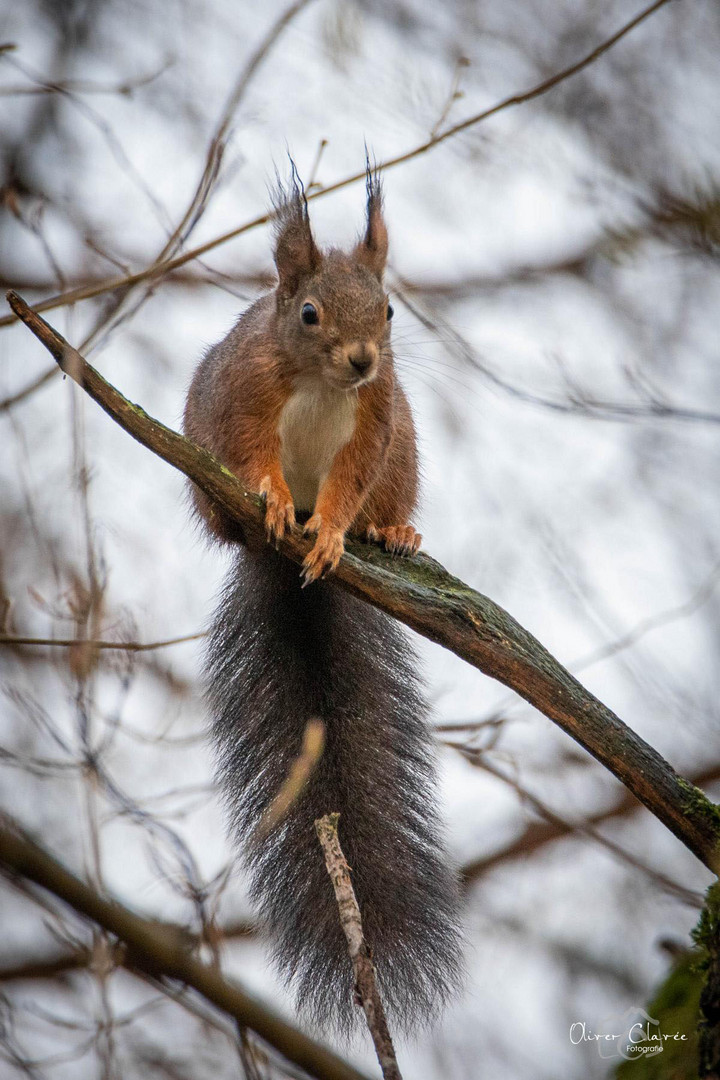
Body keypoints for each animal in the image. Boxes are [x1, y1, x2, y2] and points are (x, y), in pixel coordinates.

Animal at [184, 170, 462, 1036]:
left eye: (389, 310)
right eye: (309, 314)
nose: (366, 360)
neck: (319, 382)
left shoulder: (373, 424)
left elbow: (348, 485)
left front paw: (336, 531)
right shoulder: (243, 398)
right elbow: (252, 456)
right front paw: (276, 500)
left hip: (405, 453)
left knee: (386, 498)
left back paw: (391, 533)